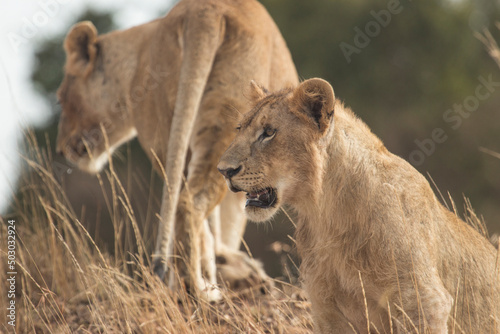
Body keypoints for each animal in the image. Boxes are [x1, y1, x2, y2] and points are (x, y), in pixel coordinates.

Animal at [55, 0, 296, 302]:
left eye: (60, 98)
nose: (60, 149)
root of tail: (203, 12)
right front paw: (236, 274)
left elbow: (211, 229)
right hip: (231, 126)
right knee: (191, 204)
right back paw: (201, 291)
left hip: (170, 134)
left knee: (183, 204)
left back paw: (193, 284)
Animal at [219, 79, 500, 334]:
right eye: (239, 128)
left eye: (268, 132)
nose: (224, 170)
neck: (326, 212)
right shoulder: (326, 310)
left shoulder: (424, 302)